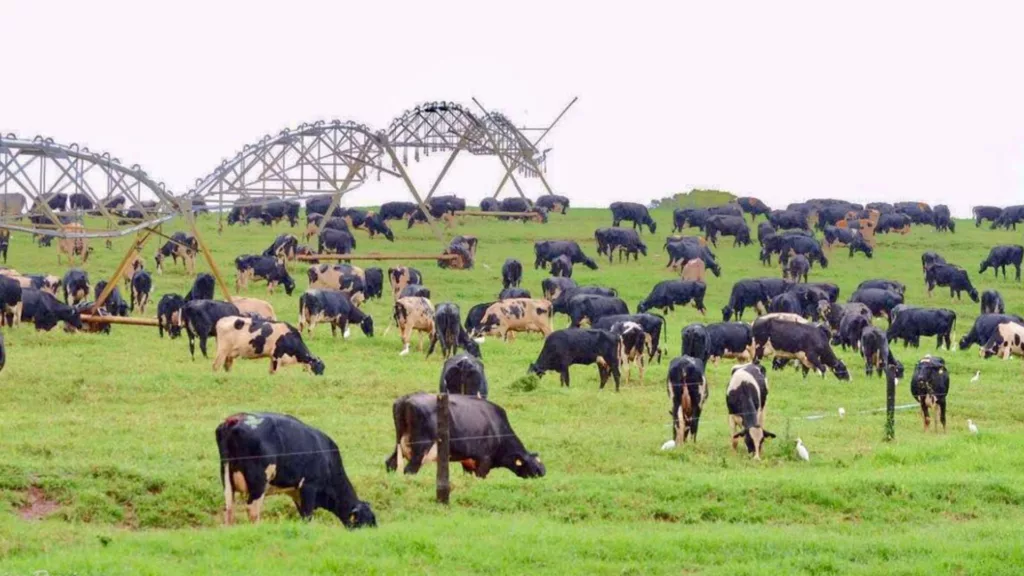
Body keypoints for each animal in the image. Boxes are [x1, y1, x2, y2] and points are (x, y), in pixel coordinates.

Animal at [216, 407, 376, 524]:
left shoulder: (296, 492)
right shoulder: (309, 487)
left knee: (229, 509)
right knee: (253, 510)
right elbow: (308, 516)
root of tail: (236, 419)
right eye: (366, 523)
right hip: (258, 481)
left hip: (226, 477)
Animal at [385, 389, 544, 475]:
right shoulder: (484, 460)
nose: (543, 471)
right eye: (534, 464)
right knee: (410, 470)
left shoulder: (468, 462)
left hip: (399, 444)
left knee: (391, 463)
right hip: (421, 448)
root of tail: (407, 398)